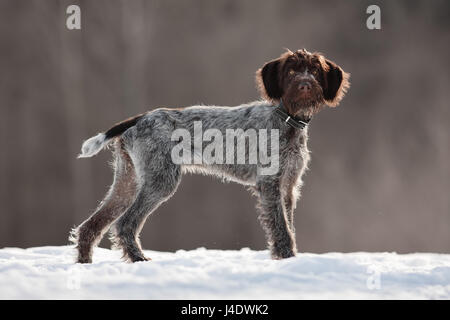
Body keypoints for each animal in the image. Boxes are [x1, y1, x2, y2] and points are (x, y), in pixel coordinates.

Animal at [71, 48, 352, 262]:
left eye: (314, 71)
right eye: (292, 71)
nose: (305, 85)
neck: (288, 120)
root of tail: (140, 118)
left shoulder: (289, 186)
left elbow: (289, 225)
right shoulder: (270, 184)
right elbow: (281, 227)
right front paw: (287, 258)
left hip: (127, 183)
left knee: (90, 226)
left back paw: (85, 263)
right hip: (160, 181)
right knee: (125, 224)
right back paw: (138, 259)